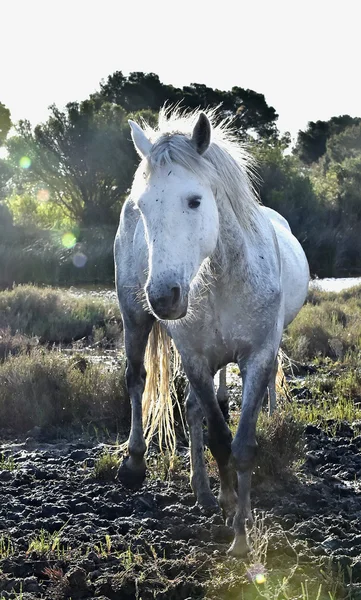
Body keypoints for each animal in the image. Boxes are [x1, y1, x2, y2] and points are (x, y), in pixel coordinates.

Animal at [114, 106, 308, 552]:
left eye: (194, 200)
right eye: (142, 207)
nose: (164, 297)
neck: (224, 277)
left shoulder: (257, 357)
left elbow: (243, 444)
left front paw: (242, 527)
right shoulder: (196, 361)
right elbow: (221, 440)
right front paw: (233, 519)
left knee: (194, 408)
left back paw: (205, 492)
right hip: (135, 318)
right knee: (137, 379)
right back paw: (137, 463)